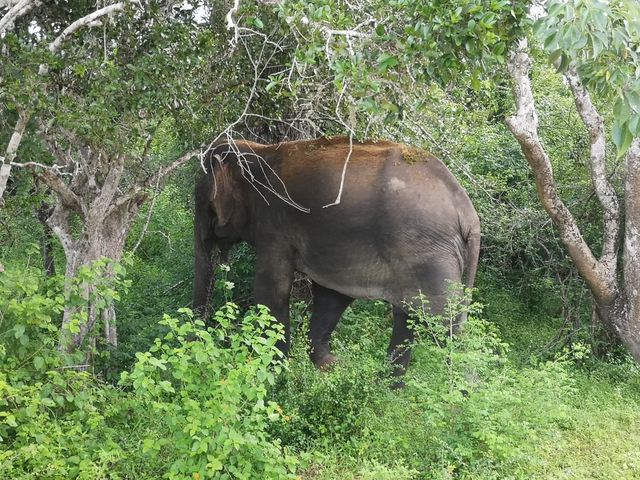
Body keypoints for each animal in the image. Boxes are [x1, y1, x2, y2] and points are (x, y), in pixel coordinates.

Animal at [192, 136, 478, 378]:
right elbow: (332, 296)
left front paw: (277, 373)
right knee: (408, 317)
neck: (257, 151)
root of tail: (469, 215)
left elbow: (271, 291)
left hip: (429, 255)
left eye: (203, 205)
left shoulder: (275, 226)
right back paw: (386, 390)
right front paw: (332, 366)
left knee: (444, 323)